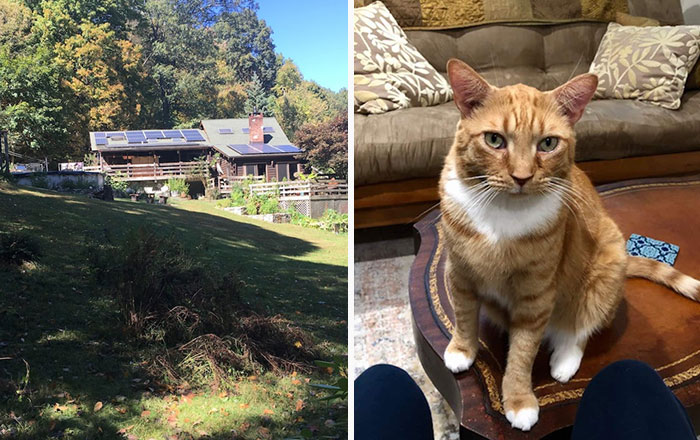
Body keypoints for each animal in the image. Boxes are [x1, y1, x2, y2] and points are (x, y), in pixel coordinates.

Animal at [442, 57, 700, 430]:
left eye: (548, 144)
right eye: (494, 140)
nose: (522, 177)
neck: (502, 214)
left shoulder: (535, 297)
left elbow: (522, 353)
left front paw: (519, 401)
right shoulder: (458, 273)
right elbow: (463, 317)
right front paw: (462, 350)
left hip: (606, 267)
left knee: (578, 329)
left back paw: (564, 361)